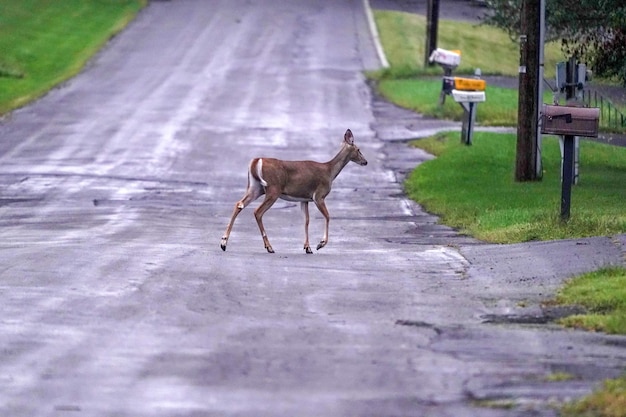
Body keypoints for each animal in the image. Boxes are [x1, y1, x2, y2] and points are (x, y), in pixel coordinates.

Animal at [219, 128, 366, 254]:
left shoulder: (304, 199)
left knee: (239, 204)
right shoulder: (319, 196)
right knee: (257, 211)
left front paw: (307, 248)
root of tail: (256, 161)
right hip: (273, 189)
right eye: (358, 149)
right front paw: (320, 244)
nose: (365, 162)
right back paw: (269, 247)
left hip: (256, 187)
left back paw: (223, 243)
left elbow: (306, 221)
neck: (329, 171)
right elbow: (328, 216)